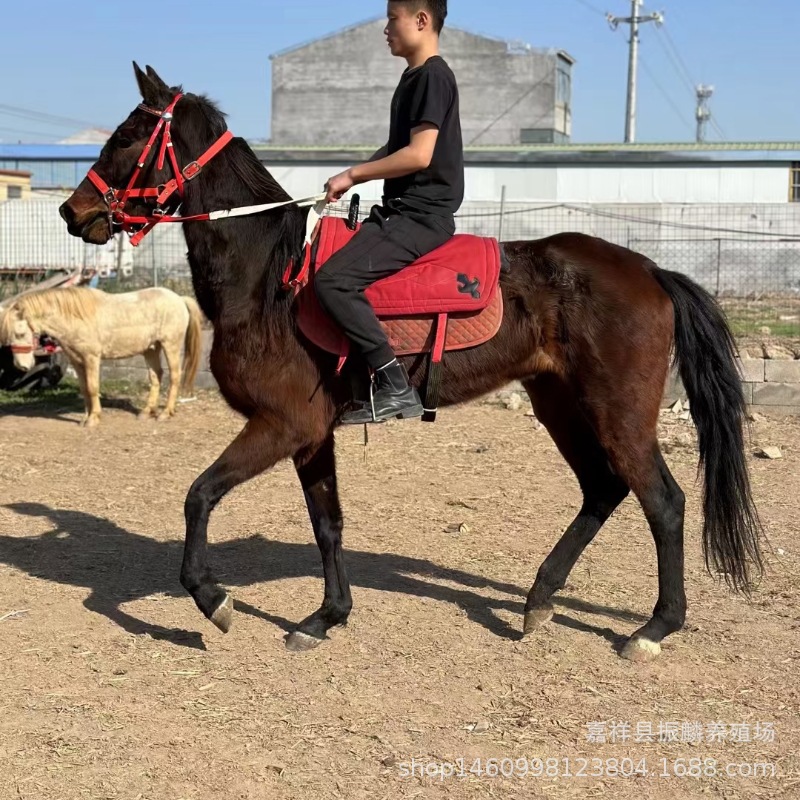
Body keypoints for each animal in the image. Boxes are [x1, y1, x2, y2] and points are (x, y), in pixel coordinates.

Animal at [0, 285, 203, 427]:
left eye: (20, 333)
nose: (22, 367)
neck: (75, 317)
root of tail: (179, 299)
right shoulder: (77, 361)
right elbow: (84, 389)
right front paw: (85, 417)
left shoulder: (91, 358)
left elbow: (92, 387)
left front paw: (94, 419)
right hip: (151, 349)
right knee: (156, 376)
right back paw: (147, 412)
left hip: (171, 345)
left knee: (174, 376)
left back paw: (165, 413)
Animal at [57, 63, 762, 662]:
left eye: (127, 135)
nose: (72, 210)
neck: (270, 276)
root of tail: (648, 268)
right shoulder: (311, 435)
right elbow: (328, 524)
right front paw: (327, 617)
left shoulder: (280, 425)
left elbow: (198, 496)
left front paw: (213, 599)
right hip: (560, 404)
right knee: (603, 489)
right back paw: (539, 601)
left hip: (618, 412)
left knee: (663, 502)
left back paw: (654, 628)